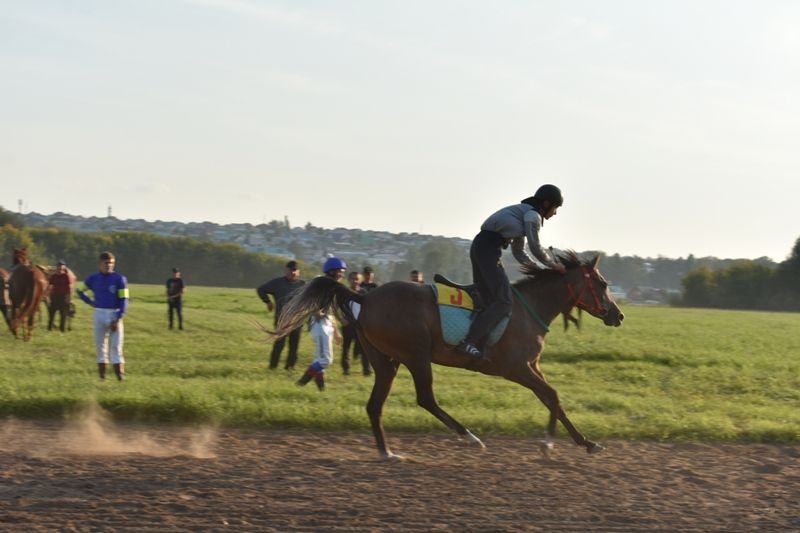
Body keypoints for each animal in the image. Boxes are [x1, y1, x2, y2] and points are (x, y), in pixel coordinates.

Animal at [276, 251, 624, 460]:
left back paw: (387, 453)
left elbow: (552, 397)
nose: (617, 315)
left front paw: (578, 442)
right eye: (602, 283)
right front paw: (552, 443)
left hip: (385, 360)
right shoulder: (515, 367)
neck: (529, 307)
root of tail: (364, 297)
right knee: (425, 398)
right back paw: (469, 437)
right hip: (415, 355)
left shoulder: (531, 365)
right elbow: (550, 395)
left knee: (375, 405)